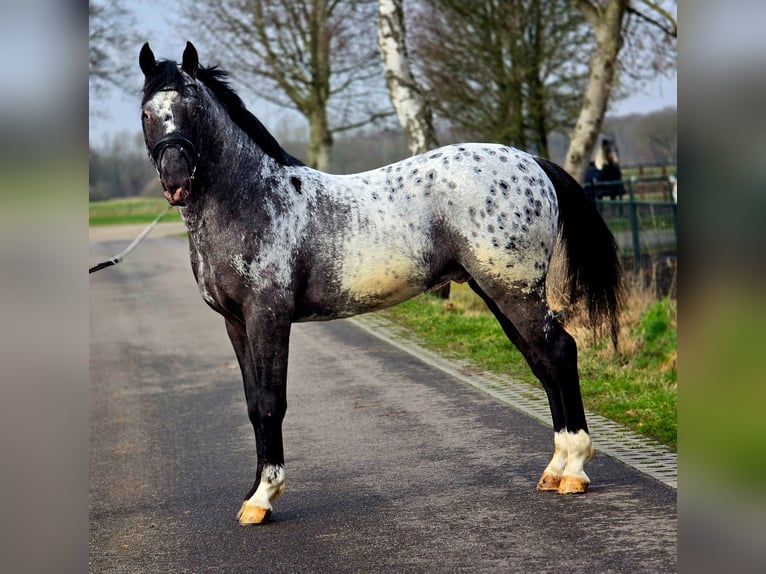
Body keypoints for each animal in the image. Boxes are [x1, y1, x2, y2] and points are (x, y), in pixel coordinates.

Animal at [139, 42, 621, 525]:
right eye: (146, 112)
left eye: (195, 109)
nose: (175, 181)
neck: (251, 200)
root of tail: (531, 163)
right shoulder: (235, 323)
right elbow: (253, 404)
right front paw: (254, 493)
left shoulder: (268, 318)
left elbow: (271, 403)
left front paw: (264, 496)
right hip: (497, 293)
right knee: (543, 363)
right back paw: (555, 469)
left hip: (514, 291)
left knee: (560, 352)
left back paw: (574, 471)